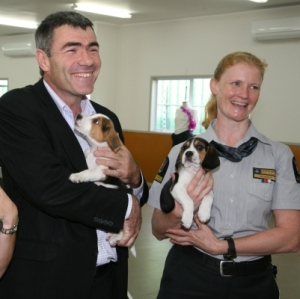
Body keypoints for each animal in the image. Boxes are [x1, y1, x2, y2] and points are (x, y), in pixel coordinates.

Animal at [69, 114, 127, 246]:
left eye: (96, 121)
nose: (79, 115)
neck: (94, 149)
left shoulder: (101, 171)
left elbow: (87, 172)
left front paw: (76, 176)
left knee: (122, 229)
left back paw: (115, 237)